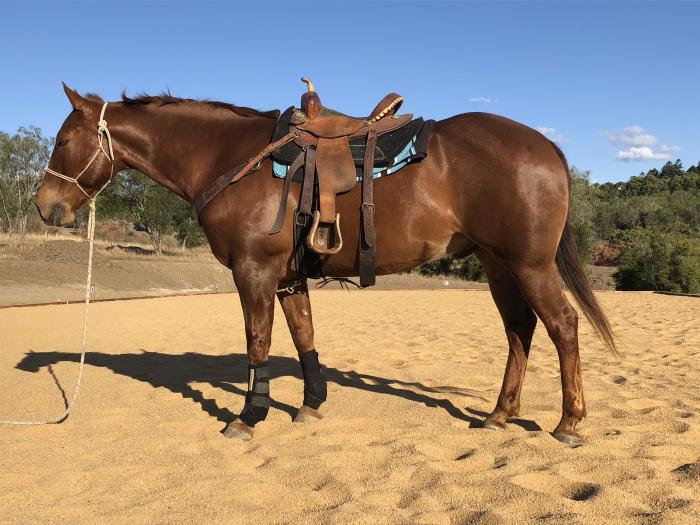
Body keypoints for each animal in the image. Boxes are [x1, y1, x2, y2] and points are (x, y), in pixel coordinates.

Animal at [35, 83, 616, 445]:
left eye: (62, 140)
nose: (46, 207)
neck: (231, 158)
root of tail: (545, 145)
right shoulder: (289, 278)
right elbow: (304, 338)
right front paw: (310, 404)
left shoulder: (254, 272)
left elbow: (259, 342)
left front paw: (249, 416)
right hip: (498, 265)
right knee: (520, 330)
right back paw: (499, 415)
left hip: (530, 264)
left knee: (562, 325)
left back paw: (568, 421)